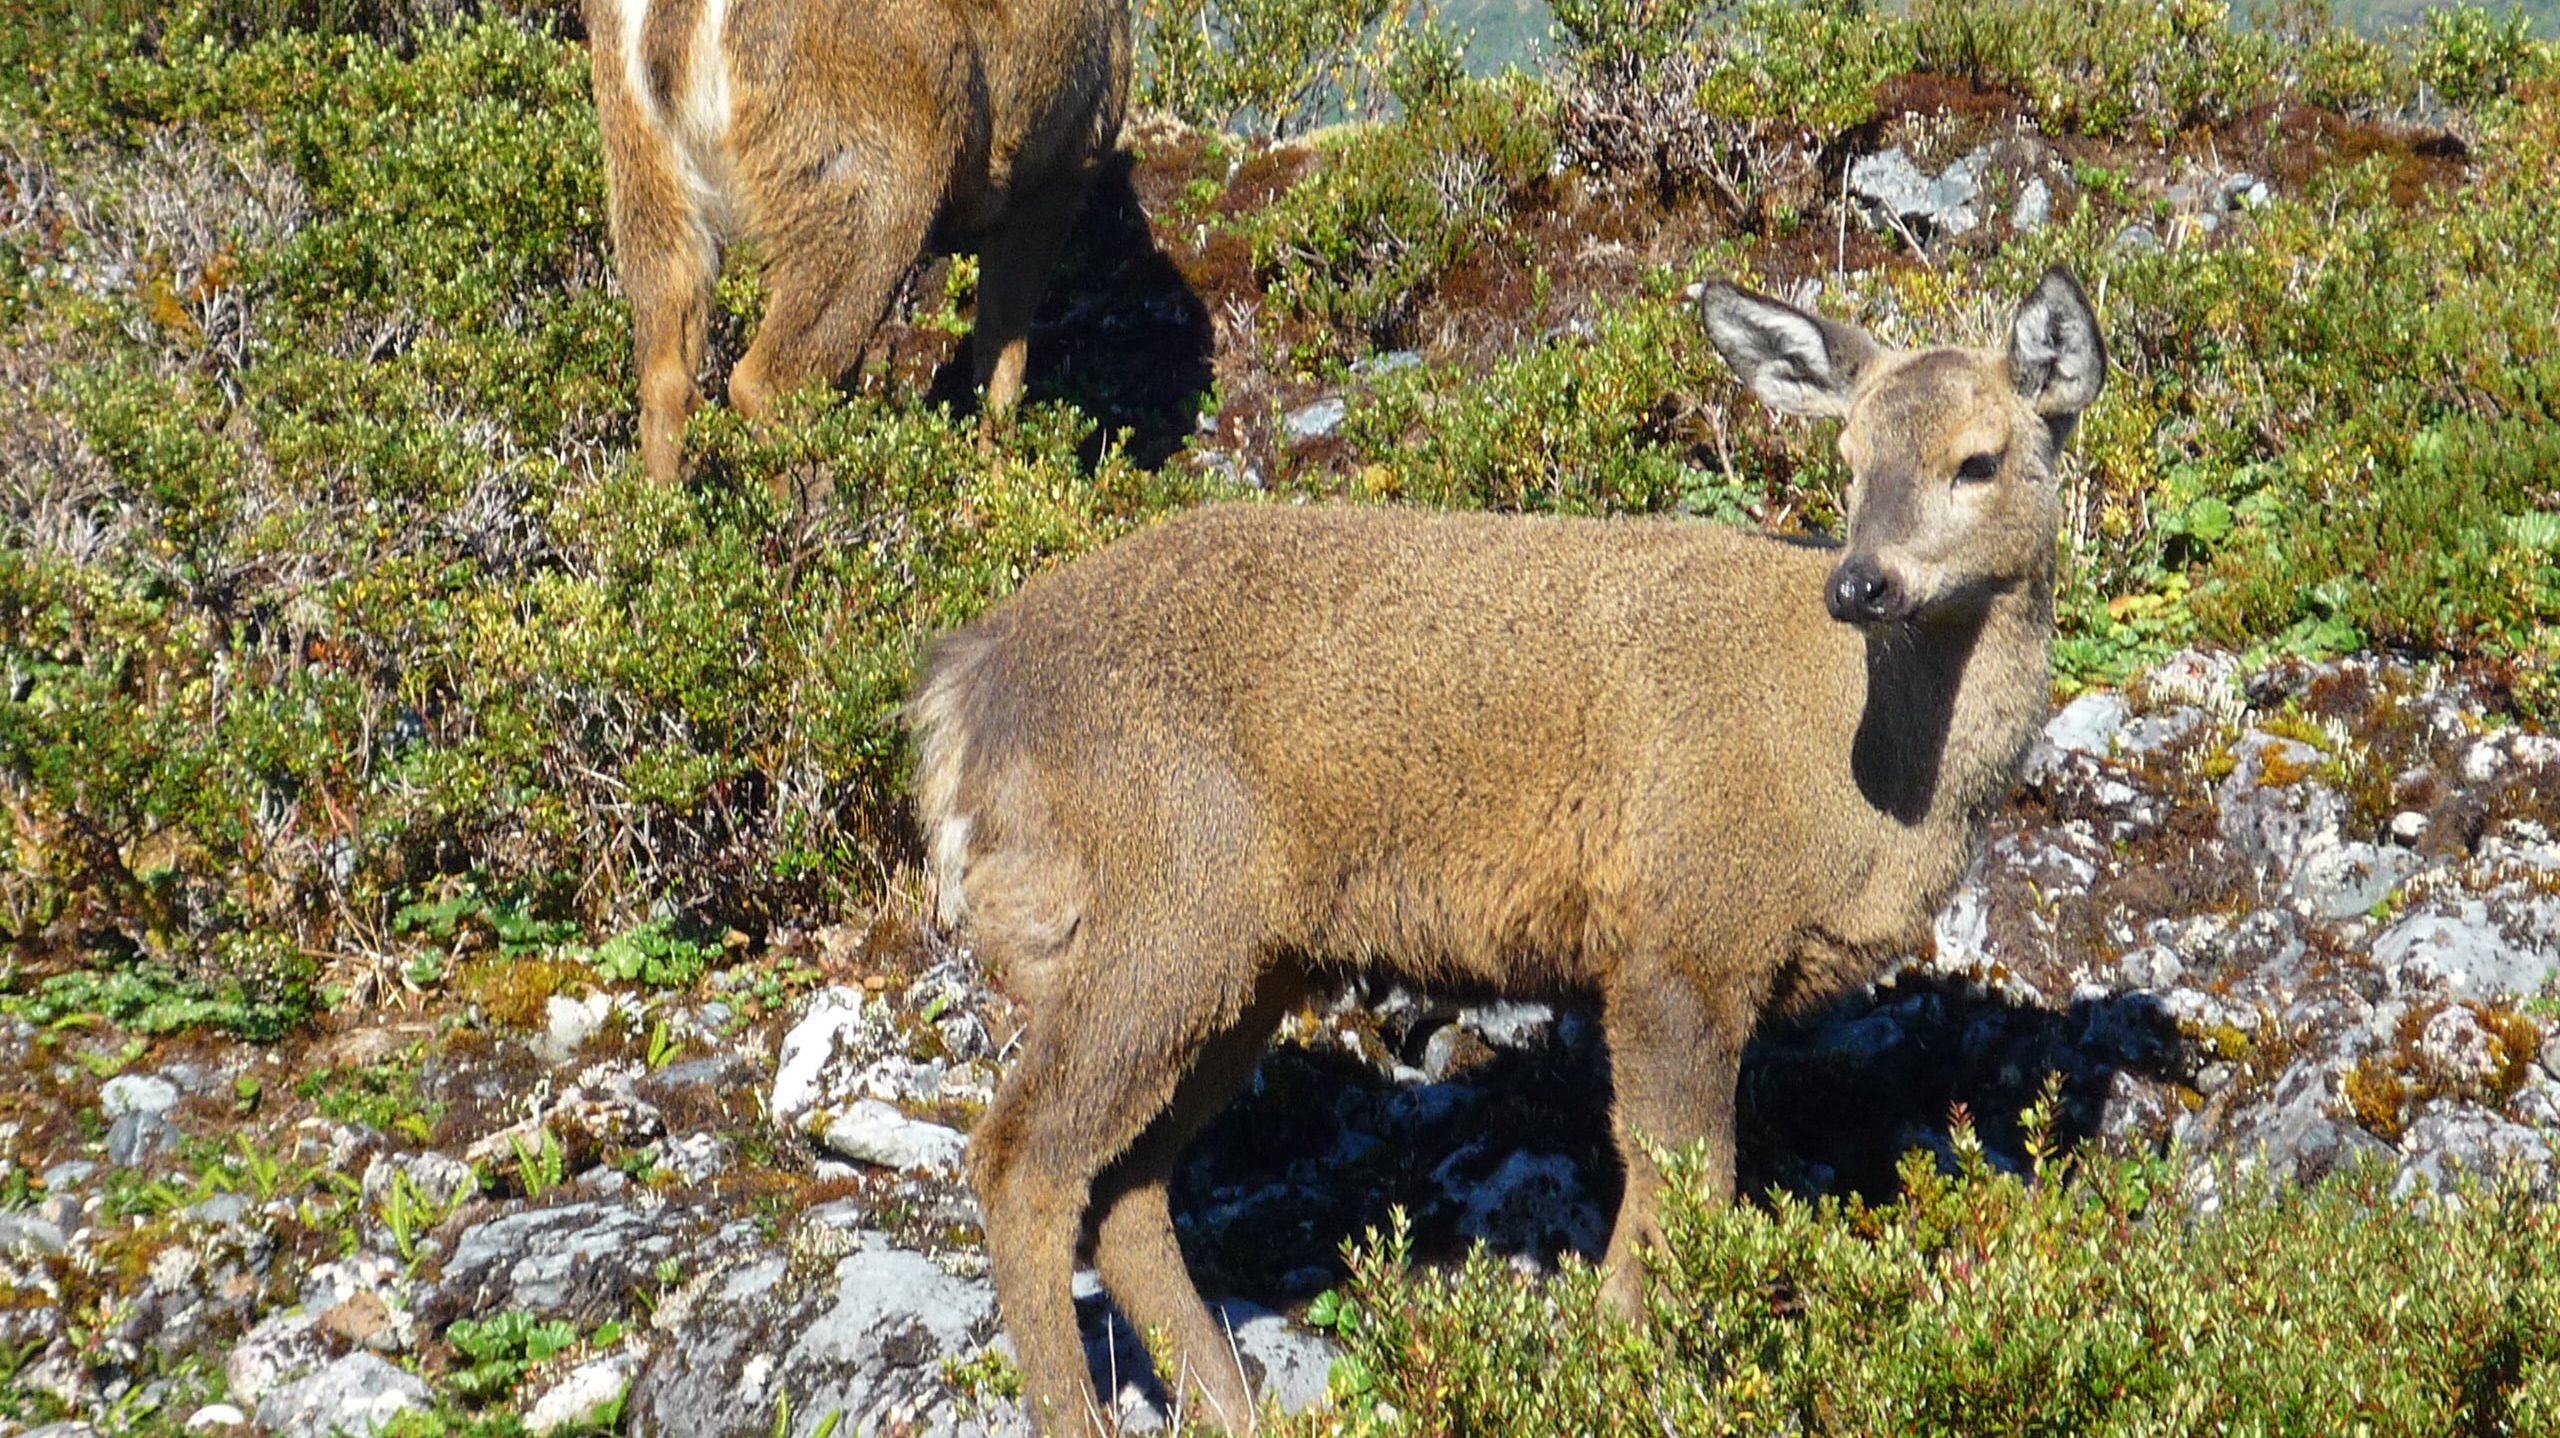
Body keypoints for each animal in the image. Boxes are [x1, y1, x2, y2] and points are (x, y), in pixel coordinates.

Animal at [588, 0, 1131, 478]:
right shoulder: (1058, 174)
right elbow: (1004, 365)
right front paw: (992, 492)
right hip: (867, 179)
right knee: (769, 384)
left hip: (643, 165)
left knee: (666, 380)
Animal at [911, 266, 2109, 1422]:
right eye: (1848, 460)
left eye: (1978, 461)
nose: (1860, 583)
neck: (1866, 785)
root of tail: (964, 696)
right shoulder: (1678, 932)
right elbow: (1680, 1181)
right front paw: (1624, 1366)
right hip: (1160, 903)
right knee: (1022, 1159)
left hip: (1243, 963)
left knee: (1126, 1185)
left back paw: (1231, 1406)